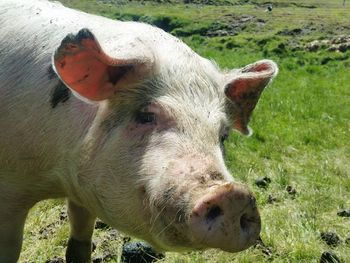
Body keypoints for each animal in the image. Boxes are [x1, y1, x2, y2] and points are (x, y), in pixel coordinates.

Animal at [0, 0, 278, 262]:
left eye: (223, 135)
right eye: (146, 115)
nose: (234, 195)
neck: (59, 177)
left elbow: (80, 241)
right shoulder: (10, 190)